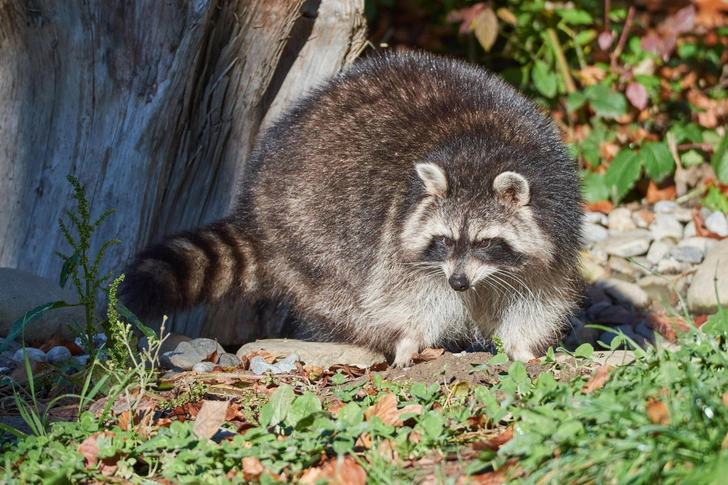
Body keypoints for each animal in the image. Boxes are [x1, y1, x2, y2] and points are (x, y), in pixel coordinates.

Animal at [121, 51, 584, 364]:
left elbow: (538, 295)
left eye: (487, 242)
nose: (458, 283)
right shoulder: (398, 232)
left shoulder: (558, 219)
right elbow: (408, 294)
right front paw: (410, 337)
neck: (481, 150)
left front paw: (523, 346)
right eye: (445, 239)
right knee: (341, 293)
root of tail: (256, 198)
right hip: (306, 230)